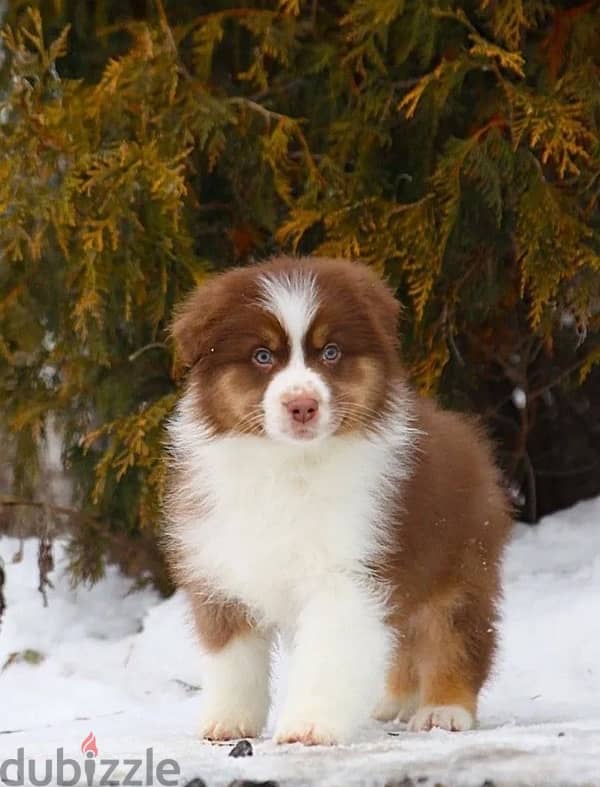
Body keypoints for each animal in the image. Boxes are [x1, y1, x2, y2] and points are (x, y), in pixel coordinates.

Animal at [163, 258, 510, 744]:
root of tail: (469, 438)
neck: (290, 464)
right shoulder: (222, 566)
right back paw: (395, 702)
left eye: (329, 352)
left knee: (457, 635)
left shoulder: (348, 574)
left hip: (461, 563)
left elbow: (328, 656)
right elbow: (232, 657)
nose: (302, 406)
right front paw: (227, 720)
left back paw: (444, 709)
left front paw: (309, 726)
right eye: (262, 356)